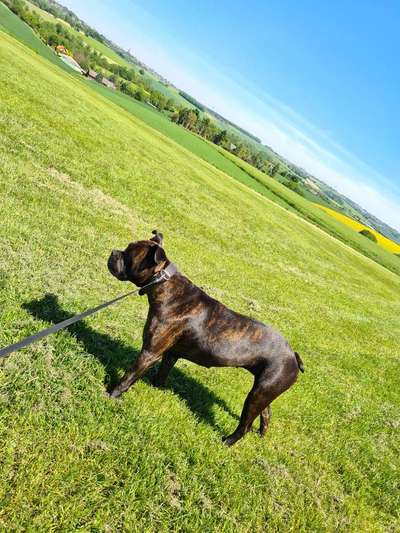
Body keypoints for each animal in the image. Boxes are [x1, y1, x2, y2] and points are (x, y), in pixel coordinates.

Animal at [106, 229, 304, 444]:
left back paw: (227, 442)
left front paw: (111, 394)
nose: (113, 252)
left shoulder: (149, 352)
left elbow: (128, 376)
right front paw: (155, 387)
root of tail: (293, 355)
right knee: (265, 413)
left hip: (258, 394)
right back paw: (260, 436)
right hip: (264, 391)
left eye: (129, 255)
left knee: (245, 425)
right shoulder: (171, 354)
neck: (165, 285)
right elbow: (162, 373)